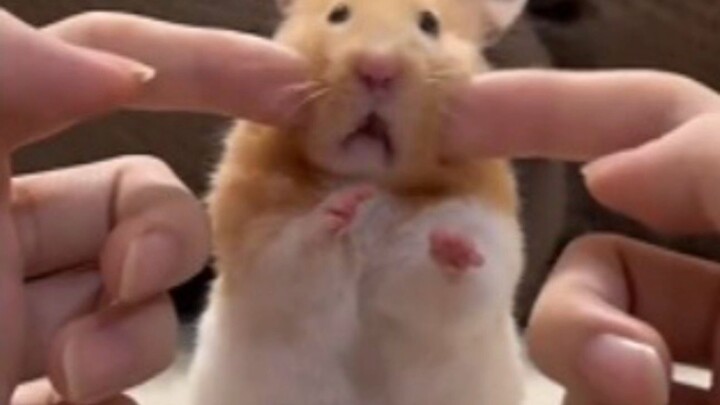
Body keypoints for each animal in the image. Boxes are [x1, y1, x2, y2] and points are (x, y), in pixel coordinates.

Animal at [188, 0, 528, 404]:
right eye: (337, 14)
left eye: (429, 23)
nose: (378, 69)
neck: (369, 176)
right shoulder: (259, 239)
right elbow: (294, 249)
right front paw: (345, 206)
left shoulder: (479, 246)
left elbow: (450, 284)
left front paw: (452, 245)